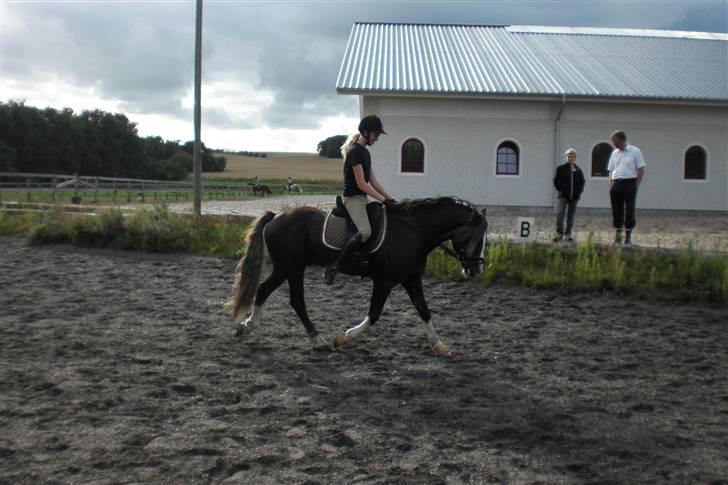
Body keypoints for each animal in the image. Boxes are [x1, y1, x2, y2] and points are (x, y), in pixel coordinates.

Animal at [226, 196, 490, 352]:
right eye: (477, 237)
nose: (477, 270)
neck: (412, 232)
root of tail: (276, 217)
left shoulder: (411, 279)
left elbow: (424, 311)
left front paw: (438, 344)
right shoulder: (384, 281)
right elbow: (374, 314)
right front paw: (345, 337)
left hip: (284, 267)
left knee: (263, 290)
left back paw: (248, 326)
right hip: (293, 267)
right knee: (296, 300)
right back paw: (317, 340)